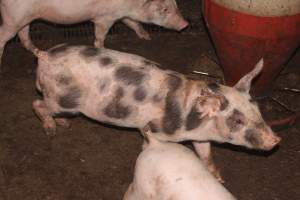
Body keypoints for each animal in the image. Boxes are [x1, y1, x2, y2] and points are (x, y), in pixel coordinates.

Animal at [33, 45, 282, 181]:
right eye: (238, 119)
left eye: (258, 110)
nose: (276, 139)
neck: (194, 122)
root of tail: (45, 55)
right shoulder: (156, 129)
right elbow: (149, 143)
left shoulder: (201, 137)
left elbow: (206, 154)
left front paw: (219, 178)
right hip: (62, 99)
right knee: (37, 104)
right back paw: (51, 130)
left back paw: (63, 125)